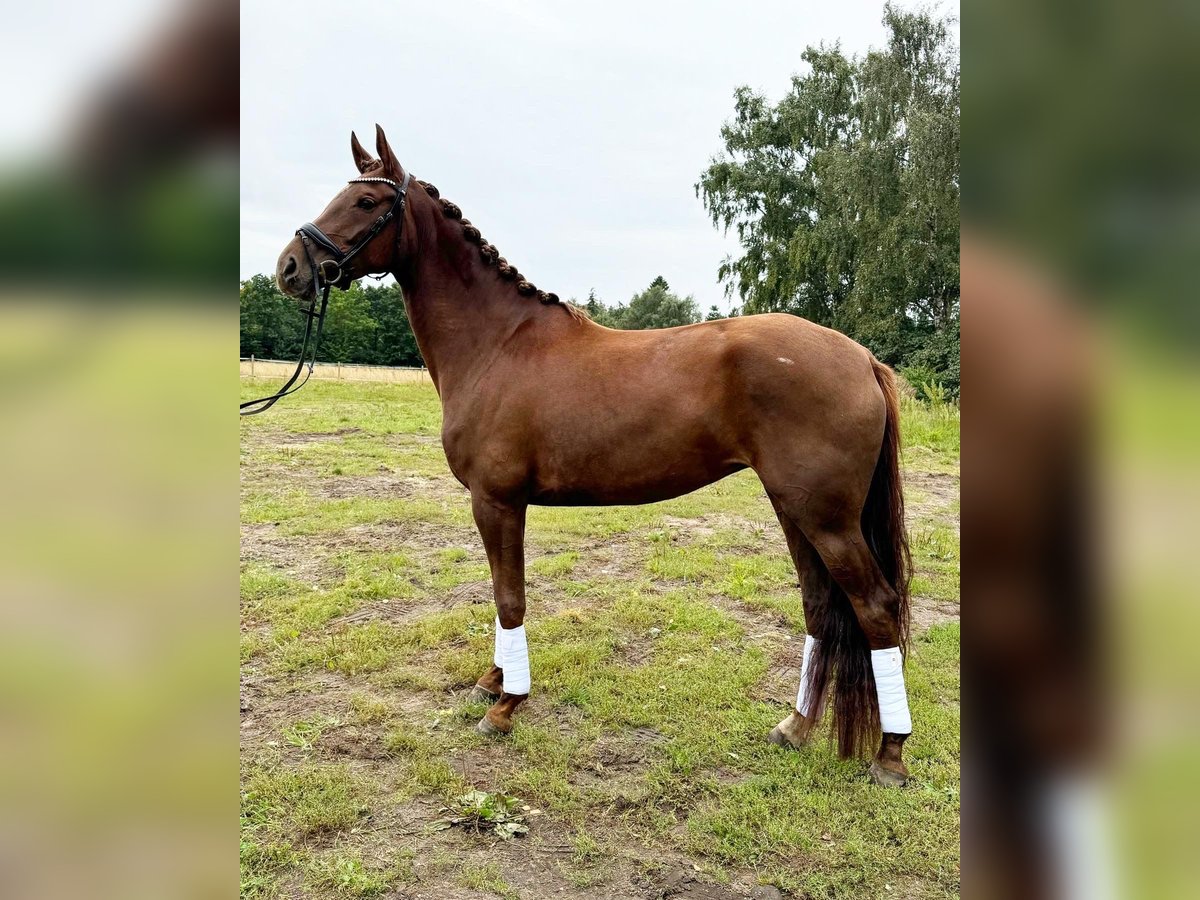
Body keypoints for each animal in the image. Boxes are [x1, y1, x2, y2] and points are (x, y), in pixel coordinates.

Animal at [276, 127, 912, 787]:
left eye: (367, 202)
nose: (289, 268)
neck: (496, 346)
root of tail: (862, 359)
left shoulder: (497, 501)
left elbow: (510, 597)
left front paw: (505, 706)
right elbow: (501, 595)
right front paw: (492, 683)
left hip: (828, 520)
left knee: (876, 608)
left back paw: (890, 755)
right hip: (795, 510)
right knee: (822, 610)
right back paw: (796, 728)